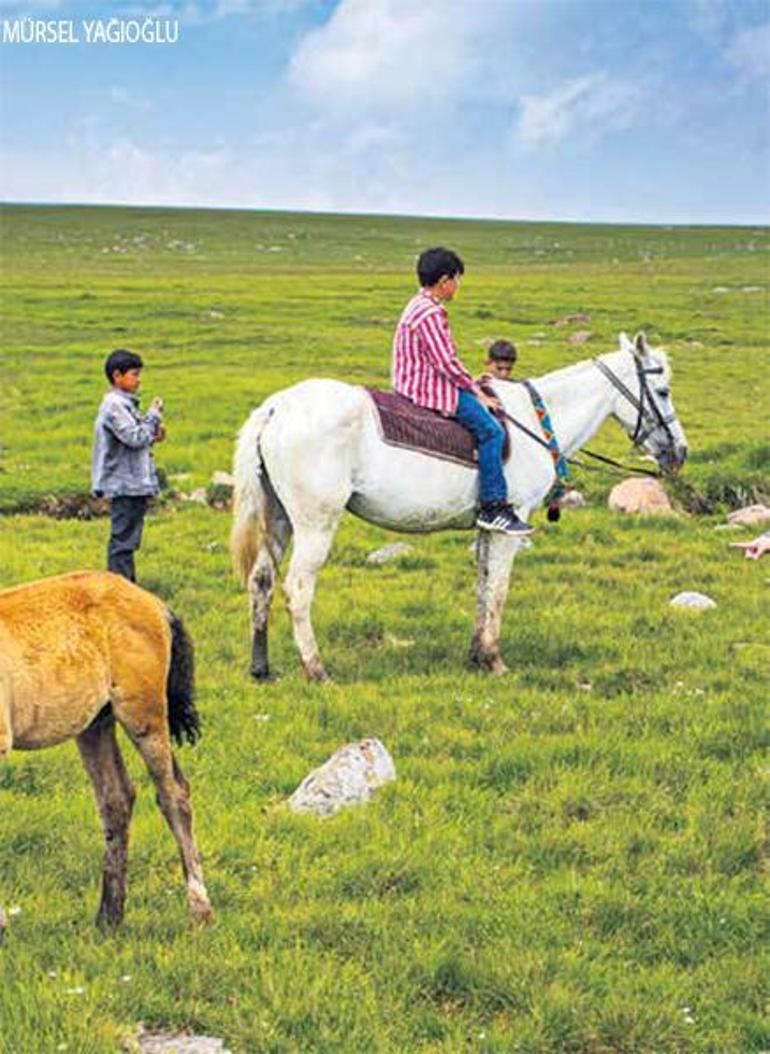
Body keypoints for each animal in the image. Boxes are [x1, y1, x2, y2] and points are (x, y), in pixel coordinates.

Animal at [231, 330, 690, 682]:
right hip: (315, 524)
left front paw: (476, 657)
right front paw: (495, 661)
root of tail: (276, 408)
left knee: (261, 581)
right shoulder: (512, 524)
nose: (680, 452)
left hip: (279, 519)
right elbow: (499, 589)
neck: (537, 422)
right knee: (298, 588)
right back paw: (317, 669)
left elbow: (483, 587)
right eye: (663, 391)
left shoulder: (490, 526)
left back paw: (261, 669)